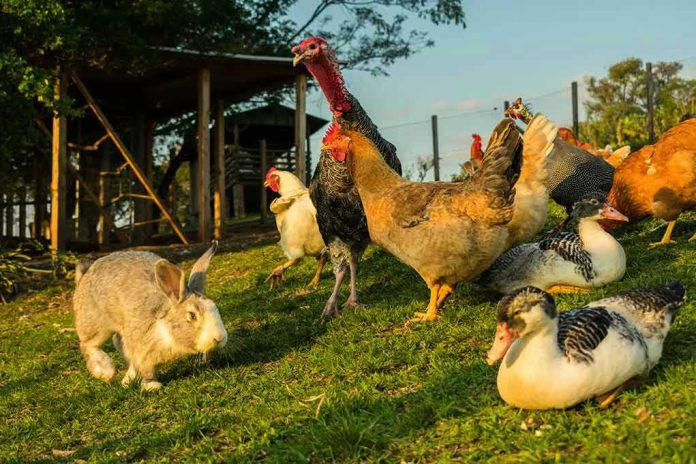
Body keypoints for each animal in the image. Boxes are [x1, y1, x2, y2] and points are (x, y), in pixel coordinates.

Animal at [72, 243, 227, 391]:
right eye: (192, 315)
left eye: (215, 307)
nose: (220, 338)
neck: (167, 330)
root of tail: (84, 275)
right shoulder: (142, 348)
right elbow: (146, 369)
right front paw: (151, 385)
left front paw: (131, 381)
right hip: (95, 323)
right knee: (88, 344)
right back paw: (105, 372)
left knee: (117, 342)